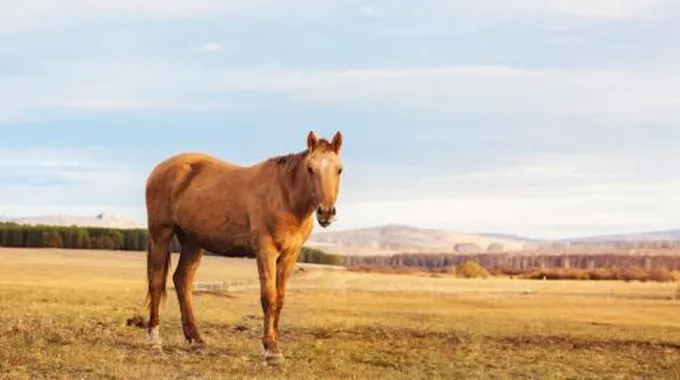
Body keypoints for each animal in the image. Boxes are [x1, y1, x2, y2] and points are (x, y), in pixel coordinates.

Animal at [144, 131, 346, 366]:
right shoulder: (266, 251)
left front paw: (273, 342)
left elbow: (280, 298)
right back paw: (154, 341)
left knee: (182, 281)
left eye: (339, 169)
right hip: (161, 234)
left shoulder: (290, 255)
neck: (284, 195)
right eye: (310, 168)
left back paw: (196, 338)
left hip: (193, 242)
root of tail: (161, 168)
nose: (326, 213)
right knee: (157, 282)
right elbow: (269, 297)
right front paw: (271, 349)